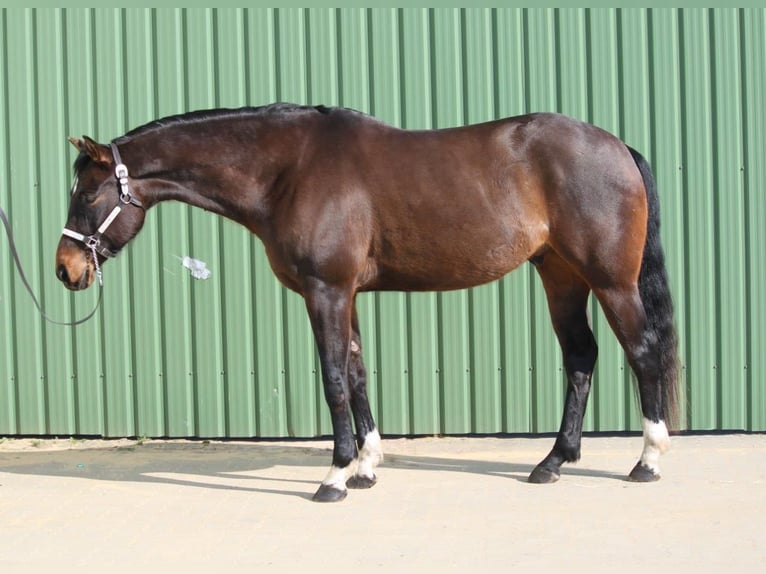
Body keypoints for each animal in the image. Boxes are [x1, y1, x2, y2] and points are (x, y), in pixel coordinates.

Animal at [55, 103, 679, 502]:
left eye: (88, 194)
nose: (66, 269)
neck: (289, 170)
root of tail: (616, 145)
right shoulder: (345, 295)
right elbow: (356, 373)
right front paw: (365, 468)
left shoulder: (326, 291)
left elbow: (333, 378)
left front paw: (334, 478)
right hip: (560, 275)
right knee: (581, 357)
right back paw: (552, 463)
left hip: (610, 281)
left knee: (643, 353)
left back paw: (647, 462)